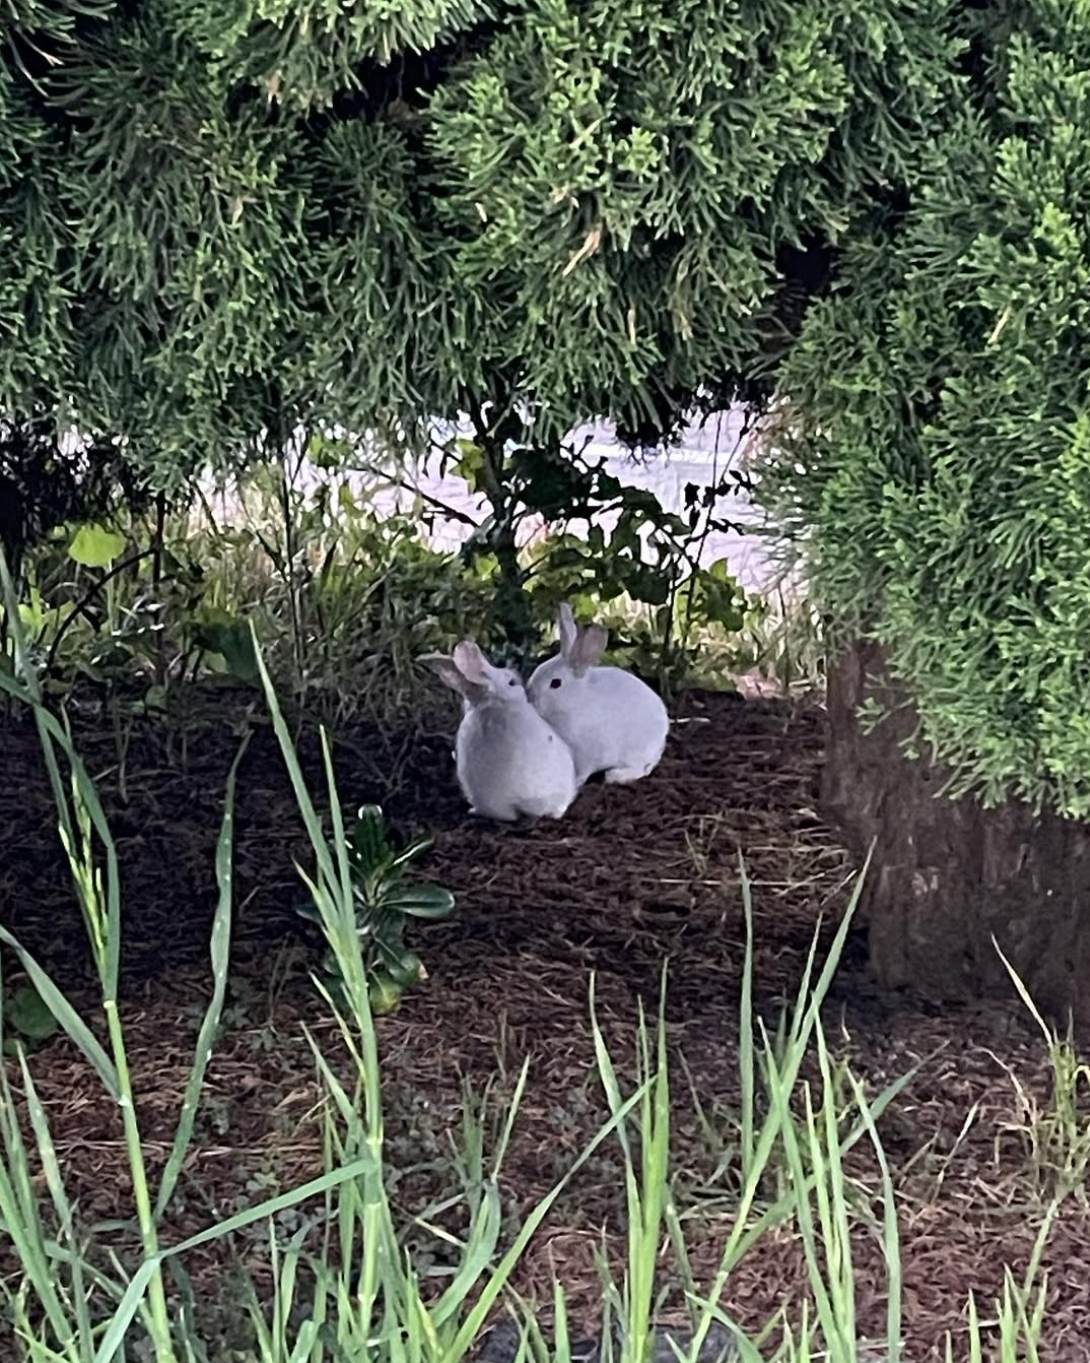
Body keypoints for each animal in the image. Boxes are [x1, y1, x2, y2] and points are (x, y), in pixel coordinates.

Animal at [526, 602, 669, 785]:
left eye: (556, 684)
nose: (530, 697)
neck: (575, 702)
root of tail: (664, 731)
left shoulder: (586, 756)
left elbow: (582, 772)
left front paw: (576, 782)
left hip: (636, 751)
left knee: (643, 768)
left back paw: (615, 776)